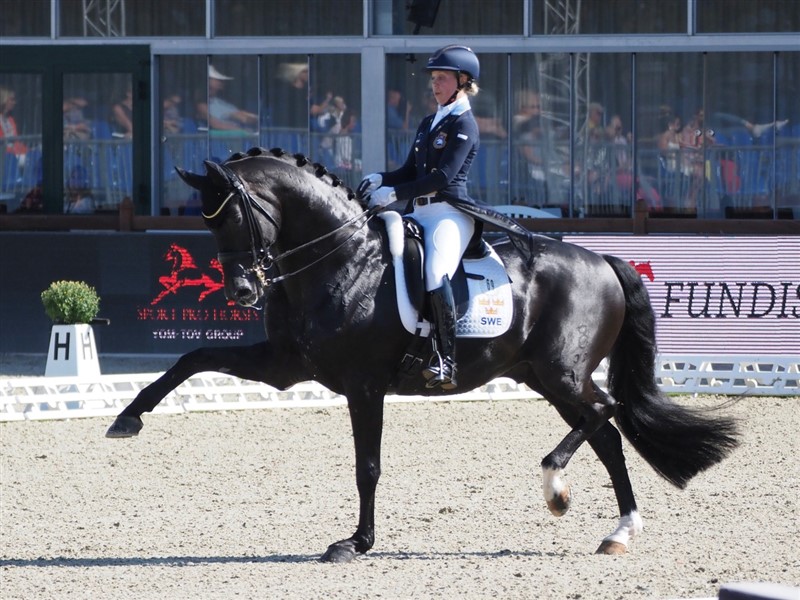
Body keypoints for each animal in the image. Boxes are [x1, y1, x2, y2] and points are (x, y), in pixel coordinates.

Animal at [104, 146, 736, 564]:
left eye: (235, 214)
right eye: (205, 221)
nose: (240, 291)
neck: (339, 260)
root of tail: (603, 258)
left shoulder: (363, 385)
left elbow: (368, 466)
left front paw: (355, 543)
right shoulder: (286, 366)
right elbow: (191, 358)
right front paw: (127, 417)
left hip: (562, 372)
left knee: (606, 415)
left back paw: (557, 486)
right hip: (542, 376)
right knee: (605, 433)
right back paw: (617, 531)